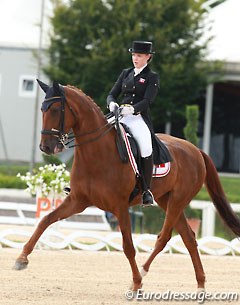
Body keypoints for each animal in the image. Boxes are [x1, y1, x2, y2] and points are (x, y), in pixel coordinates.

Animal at [14, 81, 240, 292]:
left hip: (177, 200)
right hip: (166, 200)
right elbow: (45, 220)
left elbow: (128, 246)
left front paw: (137, 283)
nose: (46, 147)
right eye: (42, 109)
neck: (97, 153)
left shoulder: (120, 207)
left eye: (54, 110)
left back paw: (144, 271)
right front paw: (21, 258)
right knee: (189, 238)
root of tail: (196, 150)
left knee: (164, 237)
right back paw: (201, 285)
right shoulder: (77, 201)